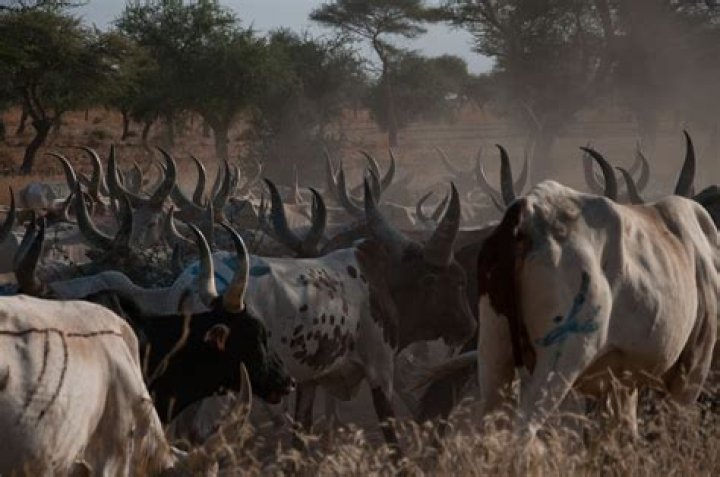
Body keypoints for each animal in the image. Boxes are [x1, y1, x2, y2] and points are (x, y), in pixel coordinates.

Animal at [473, 180, 718, 443]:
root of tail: (528, 213)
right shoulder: (692, 370)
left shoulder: (622, 383)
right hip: (558, 364)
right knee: (523, 432)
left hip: (494, 356)